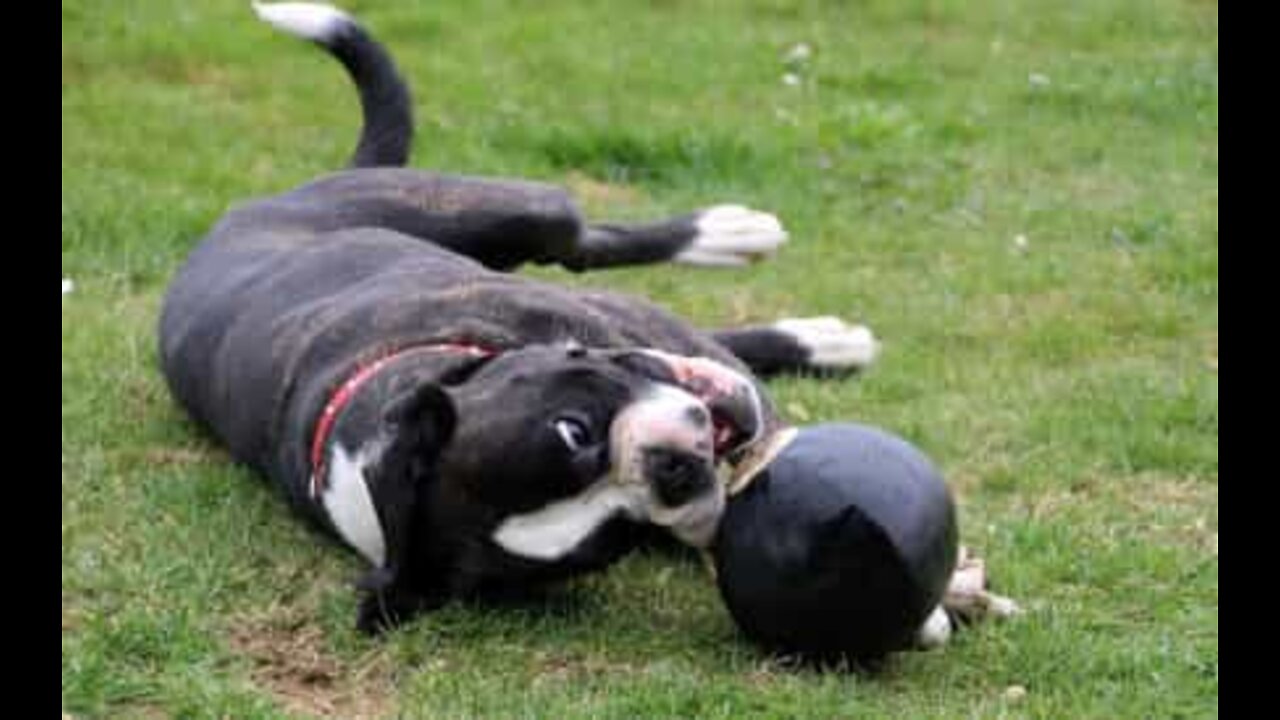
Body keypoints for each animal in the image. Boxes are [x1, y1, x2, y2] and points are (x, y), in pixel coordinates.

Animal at [157, 4, 880, 632]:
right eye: (618, 535)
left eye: (573, 430)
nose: (670, 473)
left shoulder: (618, 324)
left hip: (521, 211)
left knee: (585, 242)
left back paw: (732, 239)